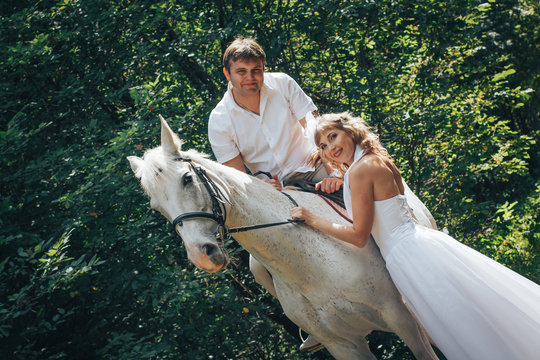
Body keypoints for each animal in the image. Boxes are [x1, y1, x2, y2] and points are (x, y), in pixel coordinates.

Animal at [127, 116, 438, 358]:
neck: (310, 267)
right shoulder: (344, 345)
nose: (202, 255)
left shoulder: (402, 318)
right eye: (156, 208)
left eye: (187, 179)